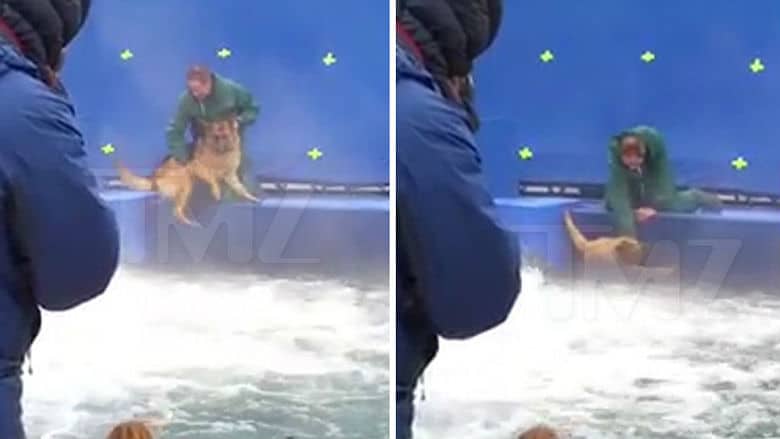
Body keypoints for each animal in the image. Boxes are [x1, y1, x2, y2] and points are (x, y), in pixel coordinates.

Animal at [116, 117, 258, 225]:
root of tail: (154, 176)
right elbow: (212, 178)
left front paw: (251, 197)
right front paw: (216, 191)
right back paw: (189, 224)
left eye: (224, 136)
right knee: (176, 210)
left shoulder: (231, 177)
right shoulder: (198, 167)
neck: (220, 155)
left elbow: (241, 189)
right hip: (186, 183)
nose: (221, 146)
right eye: (215, 137)